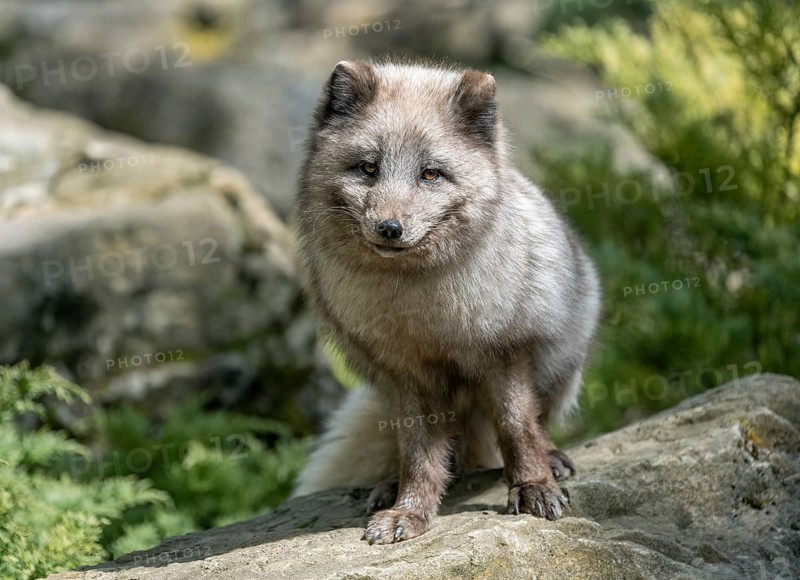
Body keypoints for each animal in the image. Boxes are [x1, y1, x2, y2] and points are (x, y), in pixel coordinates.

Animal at [291, 60, 601, 545]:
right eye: (367, 168)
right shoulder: (405, 373)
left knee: (536, 423)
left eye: (431, 174)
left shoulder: (506, 352)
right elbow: (418, 455)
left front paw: (532, 486)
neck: (421, 309)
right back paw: (392, 484)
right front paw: (410, 510)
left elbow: (517, 426)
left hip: (563, 361)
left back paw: (551, 459)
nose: (389, 228)